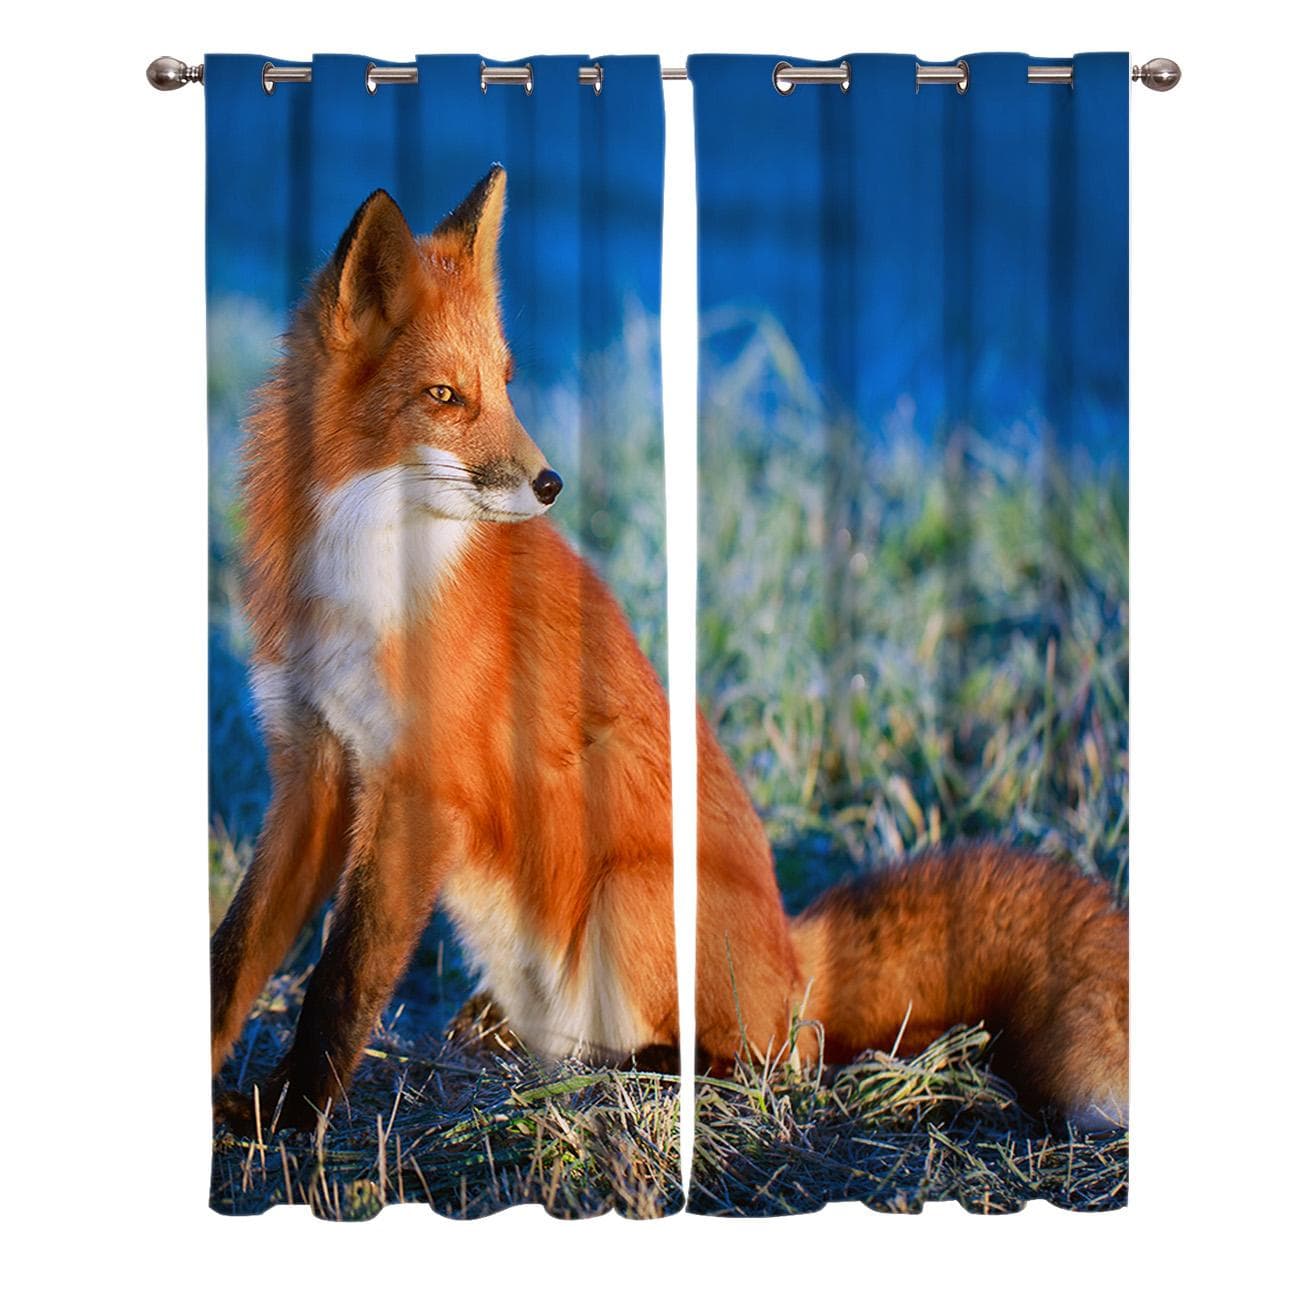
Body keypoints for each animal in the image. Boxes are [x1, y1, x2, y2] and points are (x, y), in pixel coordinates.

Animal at [210, 167, 1128, 1136]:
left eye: (506, 382)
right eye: (443, 396)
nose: (550, 483)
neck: (364, 578)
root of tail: (797, 963)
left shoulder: (419, 789)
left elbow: (342, 982)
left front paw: (289, 1118)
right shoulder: (311, 768)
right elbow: (235, 953)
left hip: (627, 893)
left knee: (765, 1062)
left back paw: (646, 1073)